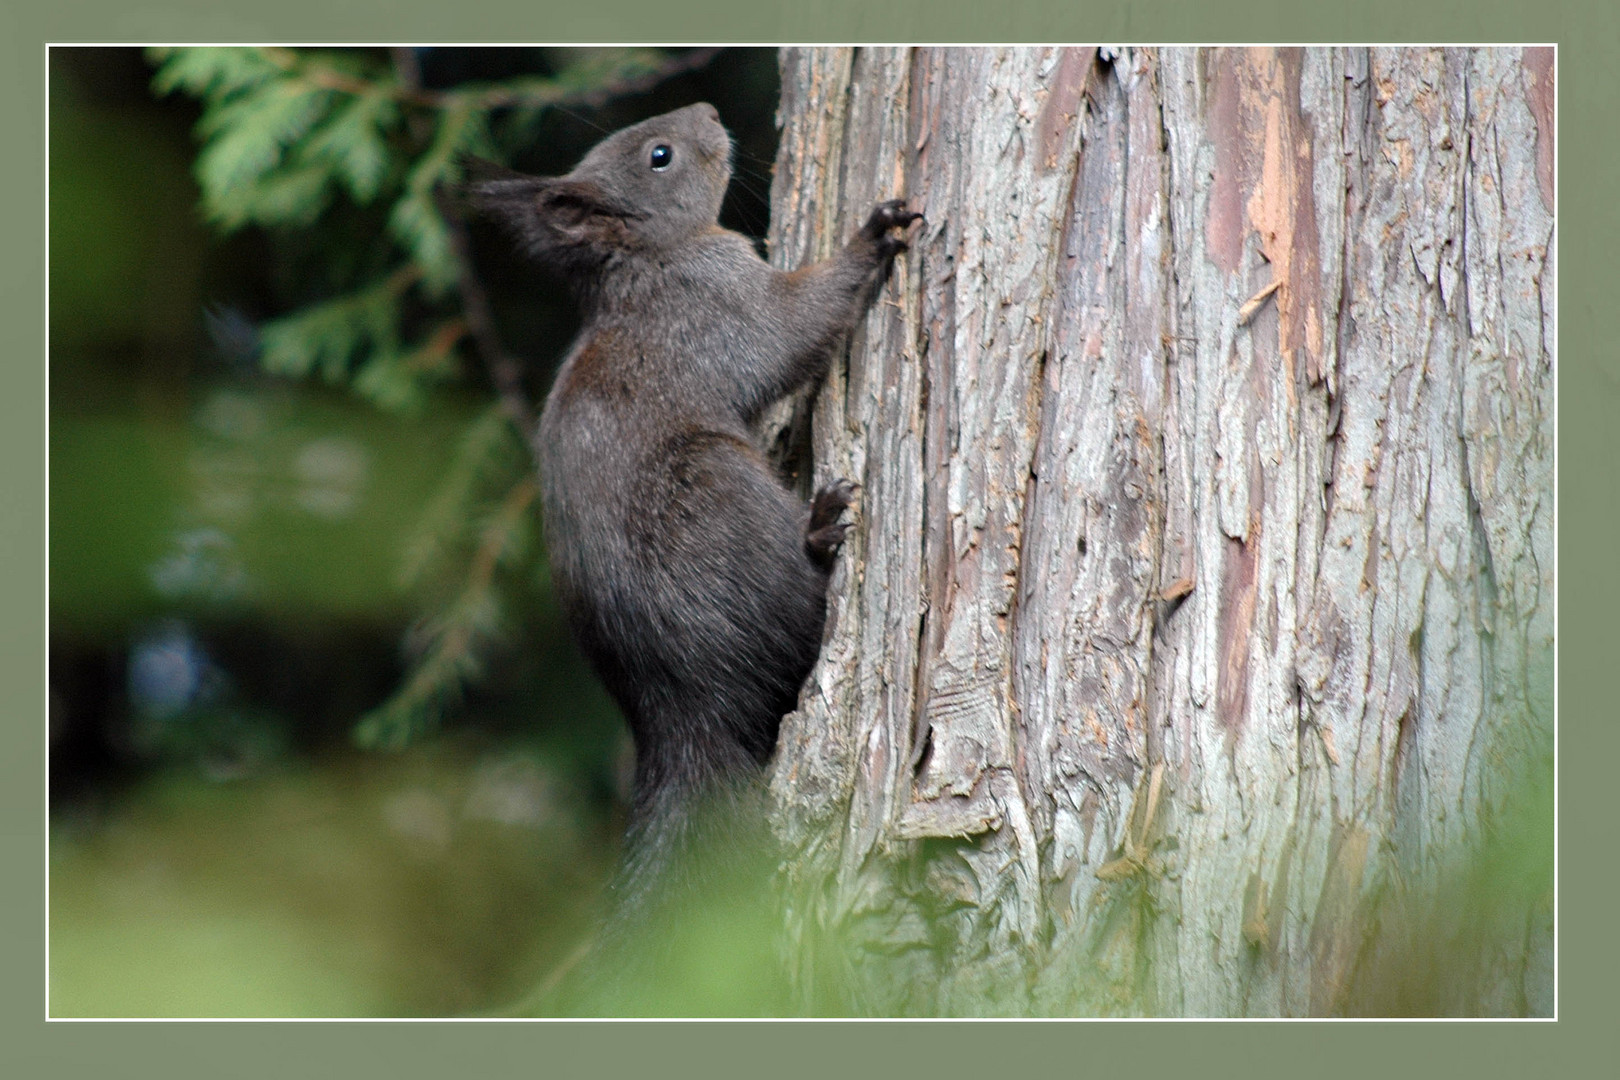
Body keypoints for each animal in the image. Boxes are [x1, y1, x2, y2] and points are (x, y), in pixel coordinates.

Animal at [469, 105, 920, 1010]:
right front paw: (872, 236)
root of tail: (683, 714)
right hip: (718, 496)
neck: (650, 261)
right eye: (660, 155)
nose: (710, 114)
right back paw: (820, 535)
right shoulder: (723, 307)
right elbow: (795, 326)